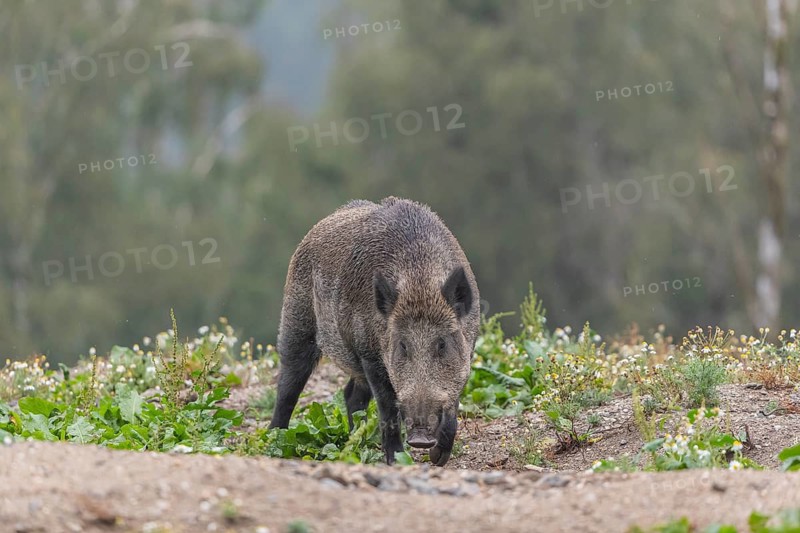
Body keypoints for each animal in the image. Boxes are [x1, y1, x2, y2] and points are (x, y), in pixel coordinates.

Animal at [268, 197, 480, 465]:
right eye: (402, 345)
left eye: (442, 344)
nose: (420, 438)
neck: (419, 282)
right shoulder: (370, 354)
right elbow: (388, 406)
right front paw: (397, 459)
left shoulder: (468, 350)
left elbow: (453, 402)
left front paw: (438, 458)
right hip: (297, 322)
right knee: (288, 385)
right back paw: (275, 438)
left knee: (350, 394)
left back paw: (355, 442)